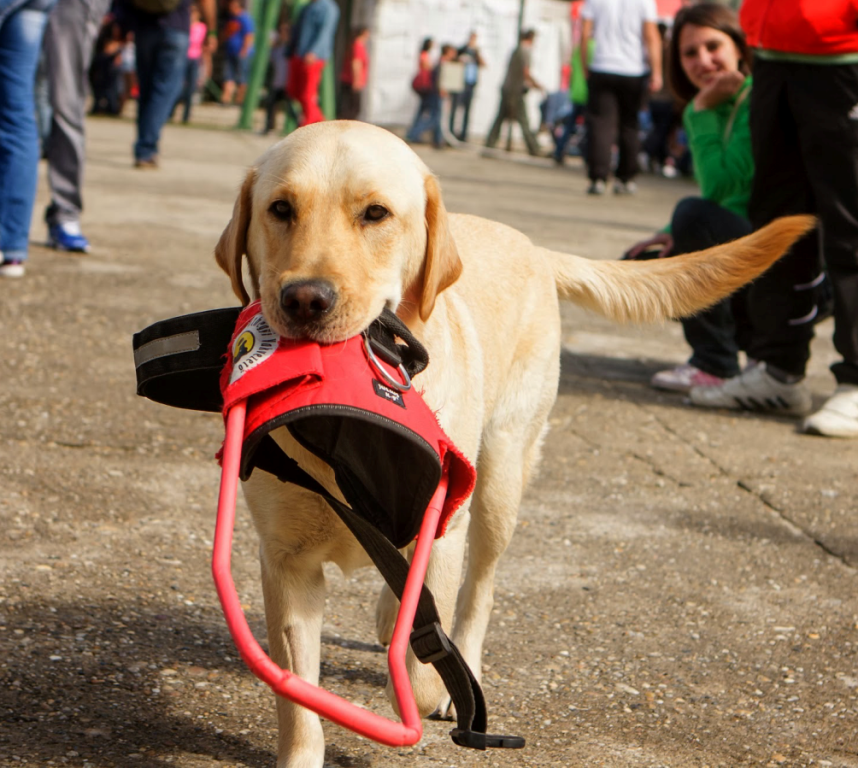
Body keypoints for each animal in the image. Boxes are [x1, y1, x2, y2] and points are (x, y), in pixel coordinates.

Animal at [214, 121, 808, 768]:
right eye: (280, 209)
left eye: (375, 214)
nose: (305, 299)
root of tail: (535, 248)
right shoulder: (286, 562)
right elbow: (298, 696)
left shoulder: (442, 530)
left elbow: (424, 666)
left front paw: (431, 677)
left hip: (501, 481)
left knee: (479, 589)